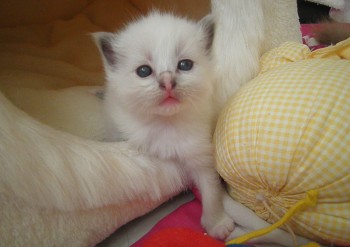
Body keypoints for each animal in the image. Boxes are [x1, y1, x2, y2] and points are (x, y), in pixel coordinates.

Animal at [94, 12, 234, 240]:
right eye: (144, 71)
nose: (167, 82)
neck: (166, 123)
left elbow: (211, 189)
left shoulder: (200, 151)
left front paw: (217, 224)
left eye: (185, 65)